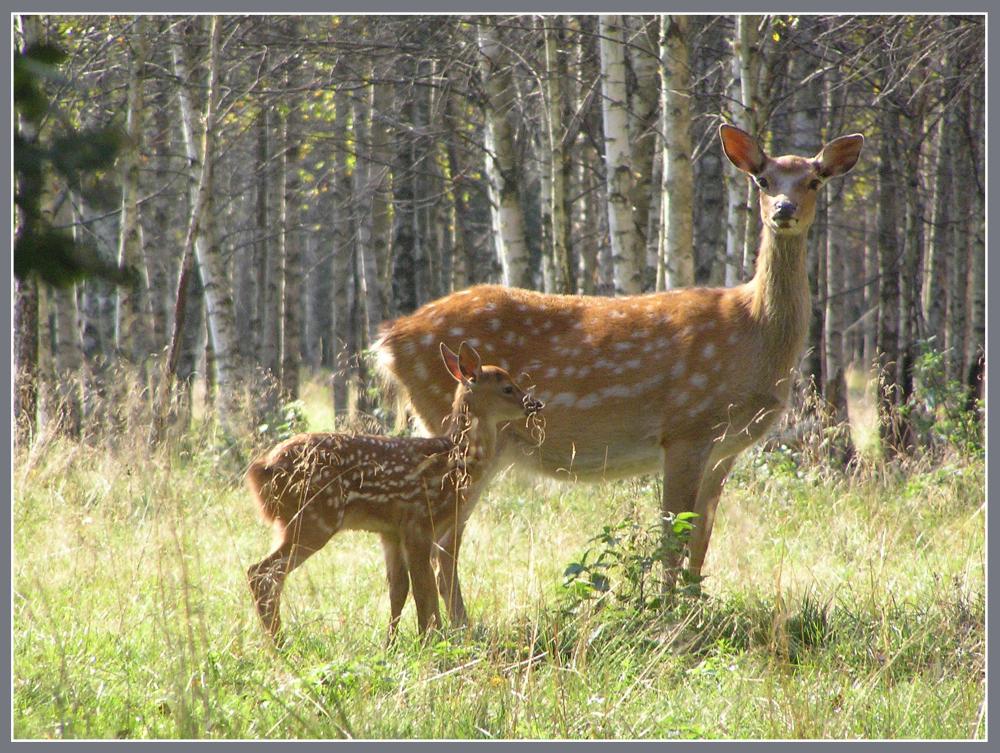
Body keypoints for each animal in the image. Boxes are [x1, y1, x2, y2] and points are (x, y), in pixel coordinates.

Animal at [249, 340, 544, 640]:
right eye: (507, 387)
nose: (536, 405)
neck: (455, 461)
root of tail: (263, 468)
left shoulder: (391, 532)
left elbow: (400, 590)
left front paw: (391, 643)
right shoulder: (419, 522)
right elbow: (424, 591)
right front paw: (430, 639)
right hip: (313, 517)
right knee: (261, 573)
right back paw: (280, 642)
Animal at [376, 122, 860, 616]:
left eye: (814, 181)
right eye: (762, 180)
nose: (783, 210)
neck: (752, 332)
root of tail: (389, 340)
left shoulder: (725, 450)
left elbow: (701, 540)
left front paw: (694, 606)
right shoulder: (686, 428)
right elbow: (672, 534)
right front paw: (672, 614)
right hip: (461, 428)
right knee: (444, 543)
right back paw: (462, 627)